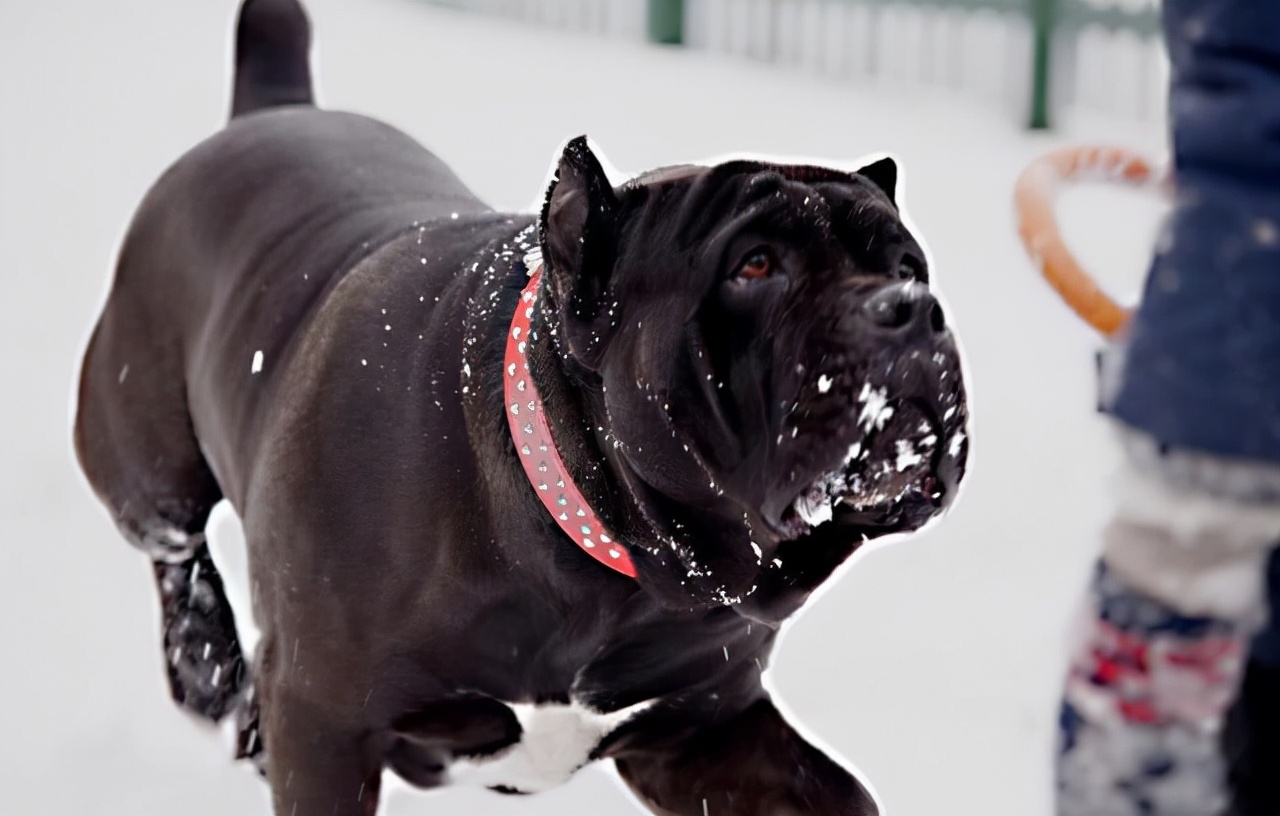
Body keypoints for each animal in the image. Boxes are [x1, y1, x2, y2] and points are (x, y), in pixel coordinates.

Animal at [74, 3, 962, 813]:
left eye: (910, 266)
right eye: (754, 265)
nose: (910, 309)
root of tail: (272, 109)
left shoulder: (704, 730)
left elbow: (839, 795)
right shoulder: (322, 721)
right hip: (141, 451)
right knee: (171, 541)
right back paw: (208, 666)